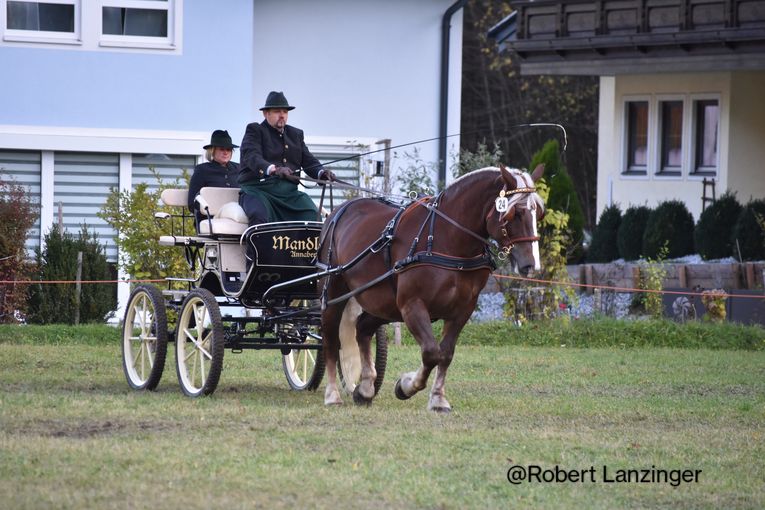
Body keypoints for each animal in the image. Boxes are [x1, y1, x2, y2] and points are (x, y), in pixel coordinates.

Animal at [316, 165, 544, 412]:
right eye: (515, 213)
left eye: (539, 213)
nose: (531, 265)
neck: (448, 239)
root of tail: (338, 211)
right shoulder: (412, 305)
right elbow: (431, 352)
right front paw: (406, 386)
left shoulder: (463, 309)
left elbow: (446, 353)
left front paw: (437, 398)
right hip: (333, 294)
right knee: (330, 340)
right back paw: (332, 394)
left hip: (384, 303)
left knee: (363, 328)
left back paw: (365, 388)